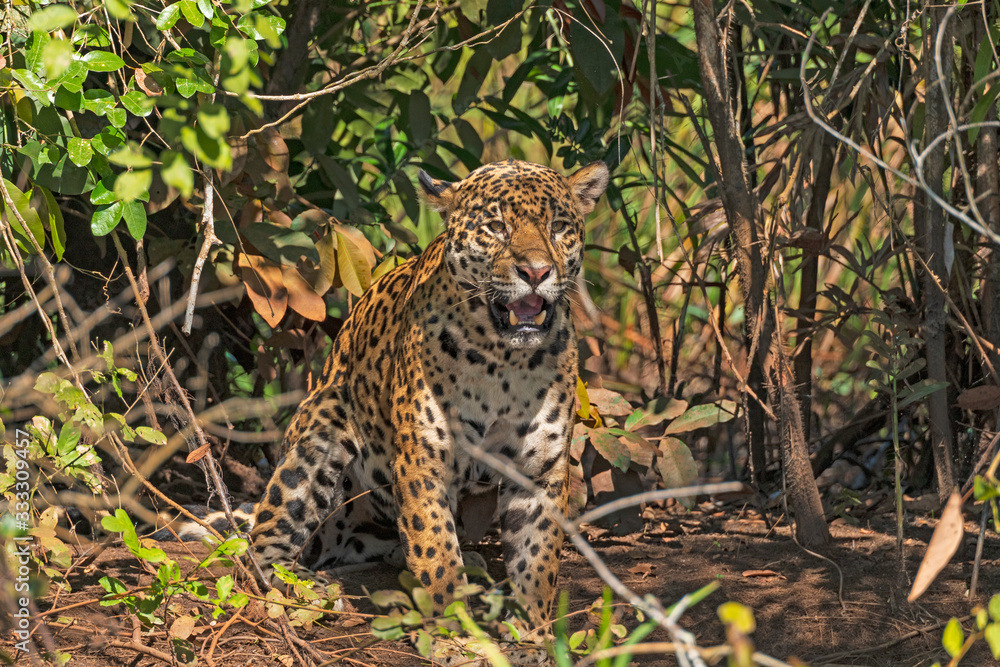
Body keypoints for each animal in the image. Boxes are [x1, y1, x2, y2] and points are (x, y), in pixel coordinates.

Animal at [181, 159, 608, 629]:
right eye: (496, 227)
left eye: (558, 227)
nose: (535, 272)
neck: (505, 362)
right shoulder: (422, 460)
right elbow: (435, 549)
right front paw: (454, 625)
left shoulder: (540, 468)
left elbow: (537, 558)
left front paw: (532, 626)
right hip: (319, 433)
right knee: (261, 548)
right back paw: (306, 588)